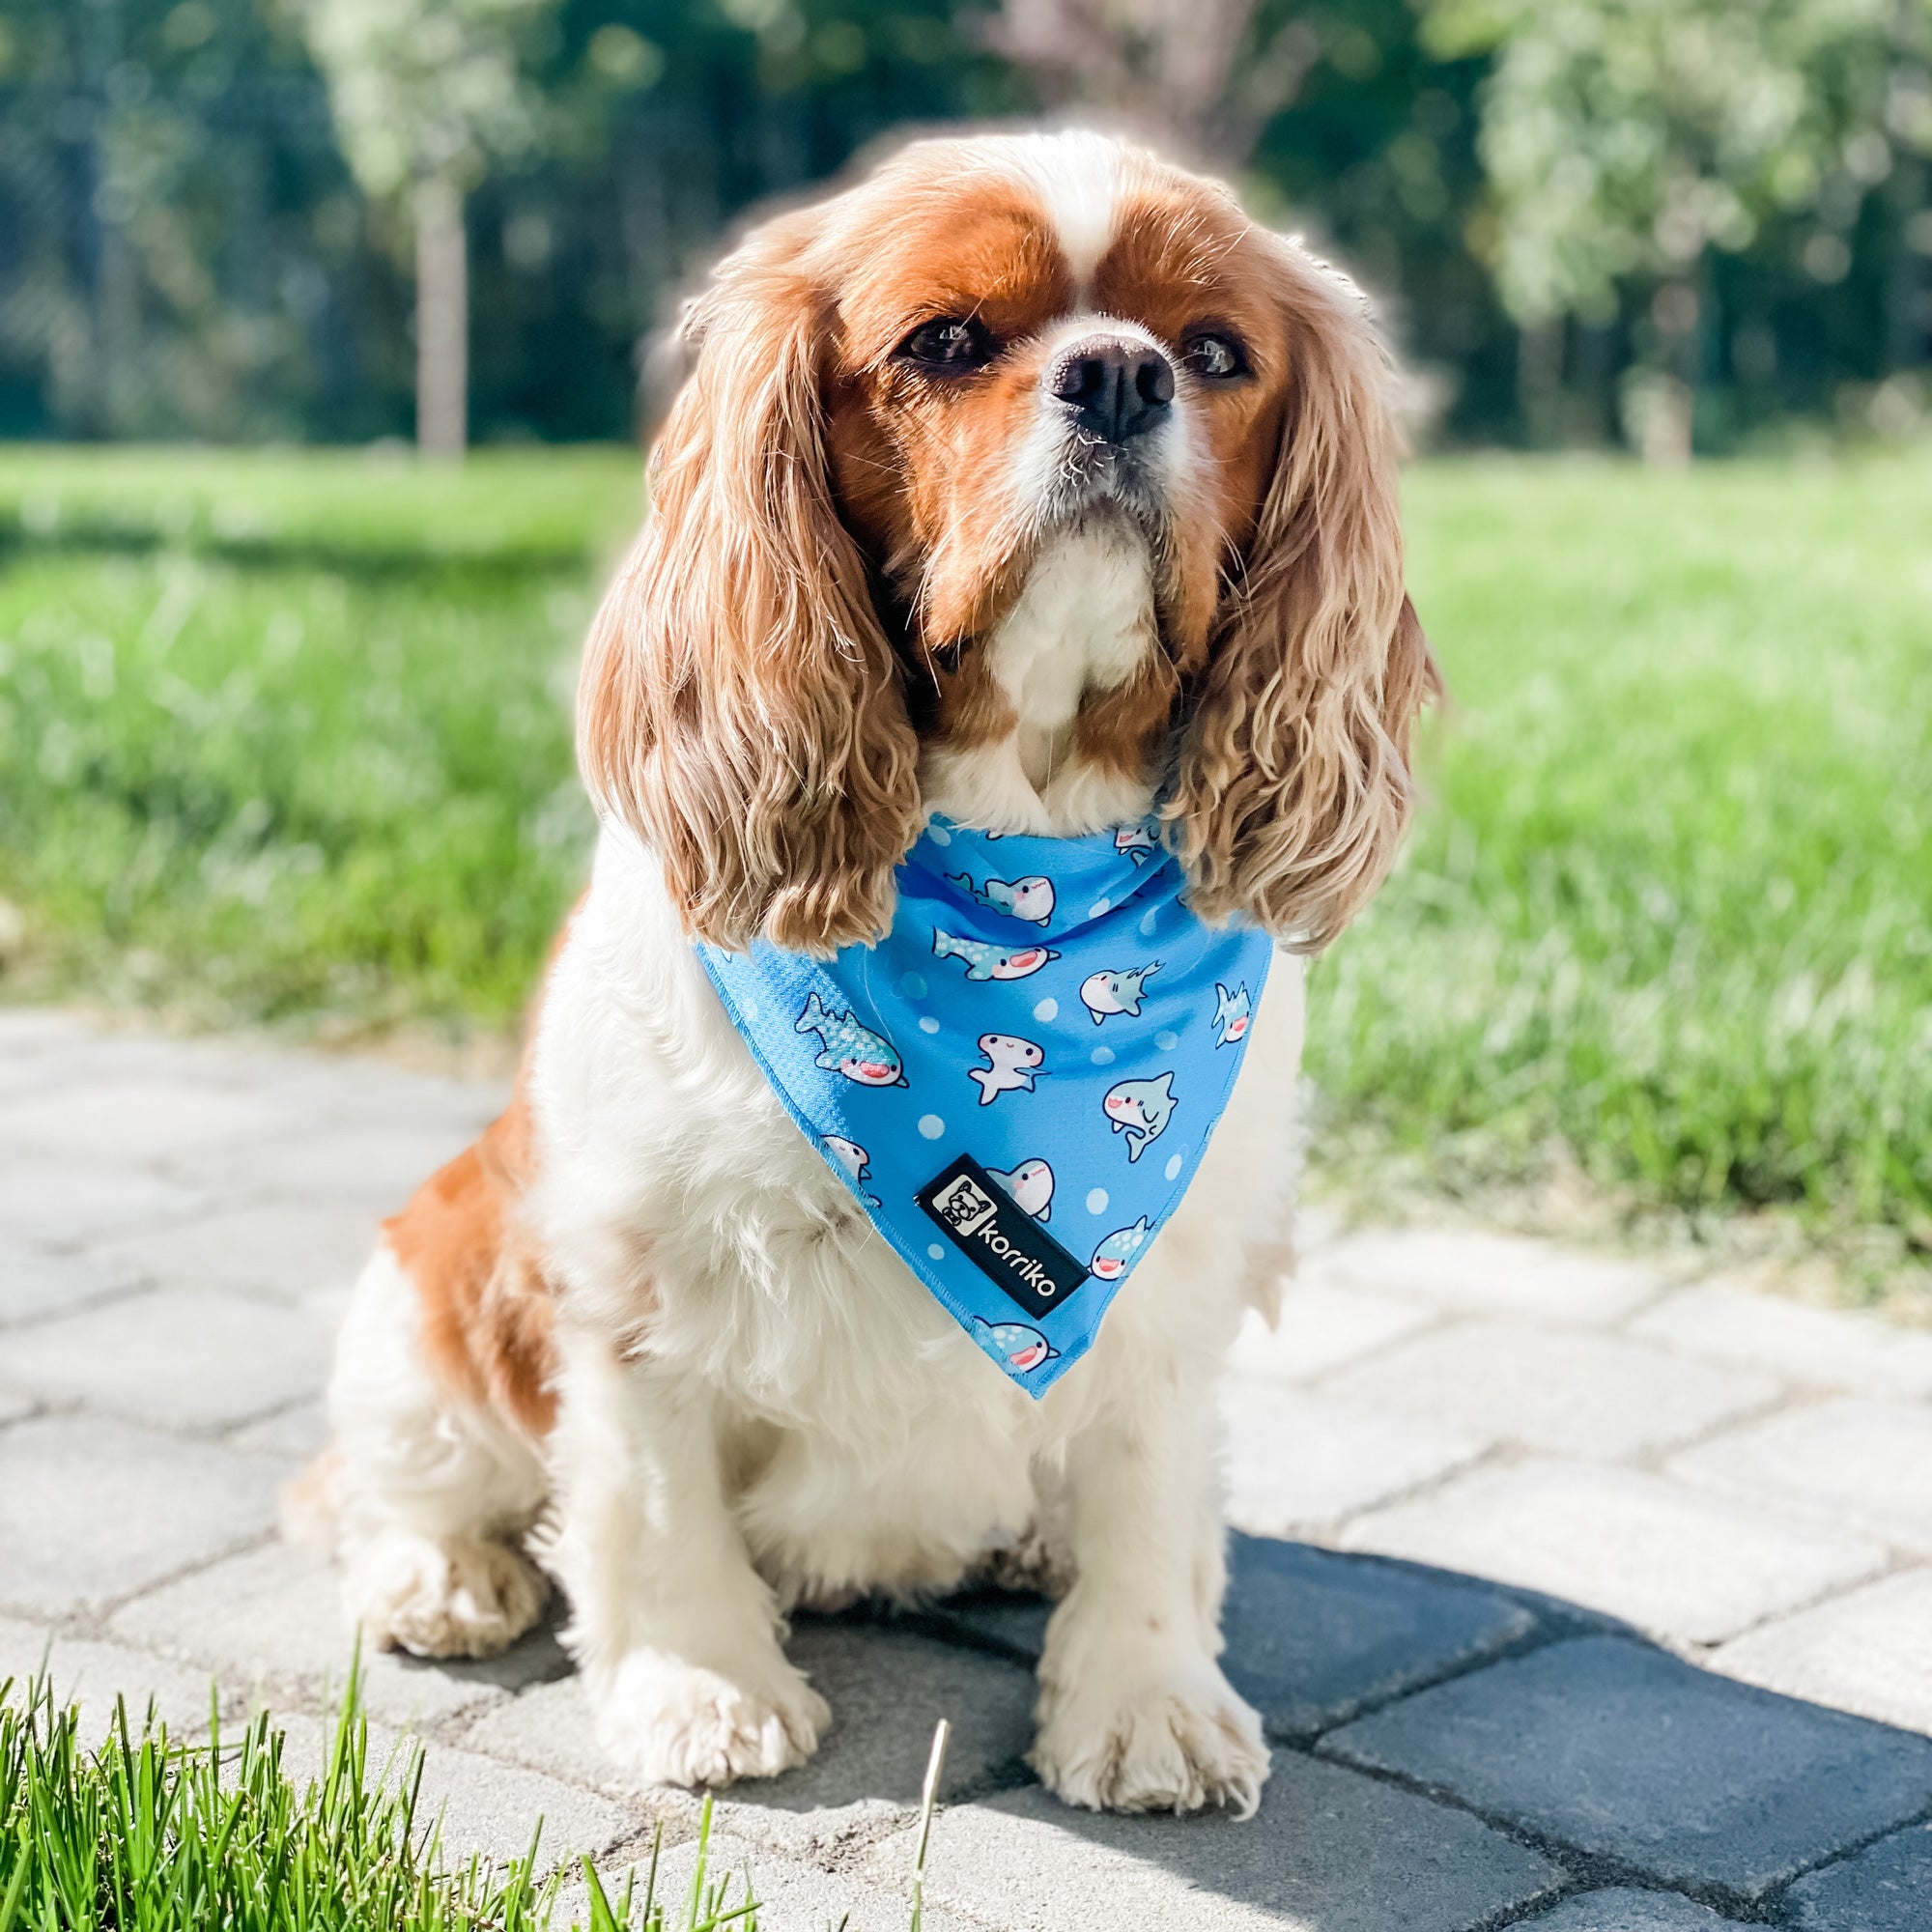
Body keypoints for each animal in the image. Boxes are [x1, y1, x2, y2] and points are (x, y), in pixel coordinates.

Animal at [313, 128, 1437, 1816]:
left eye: (1216, 355)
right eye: (948, 342)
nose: (1120, 375)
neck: (1016, 879)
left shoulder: (1173, 1278)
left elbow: (1151, 1497)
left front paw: (1147, 1701)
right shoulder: (635, 1267)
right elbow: (651, 1500)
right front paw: (700, 1691)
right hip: (428, 1278)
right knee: (383, 1475)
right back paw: (439, 1577)